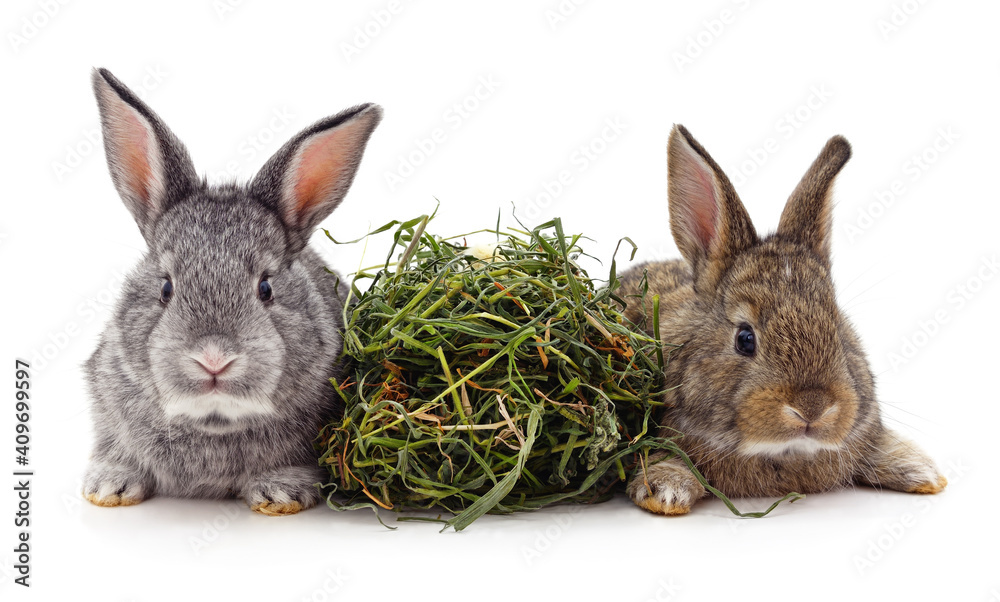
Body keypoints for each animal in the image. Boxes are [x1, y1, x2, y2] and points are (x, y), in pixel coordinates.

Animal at [81, 68, 382, 516]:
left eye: (266, 287)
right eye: (166, 288)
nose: (213, 359)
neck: (213, 422)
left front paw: (281, 493)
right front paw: (109, 487)